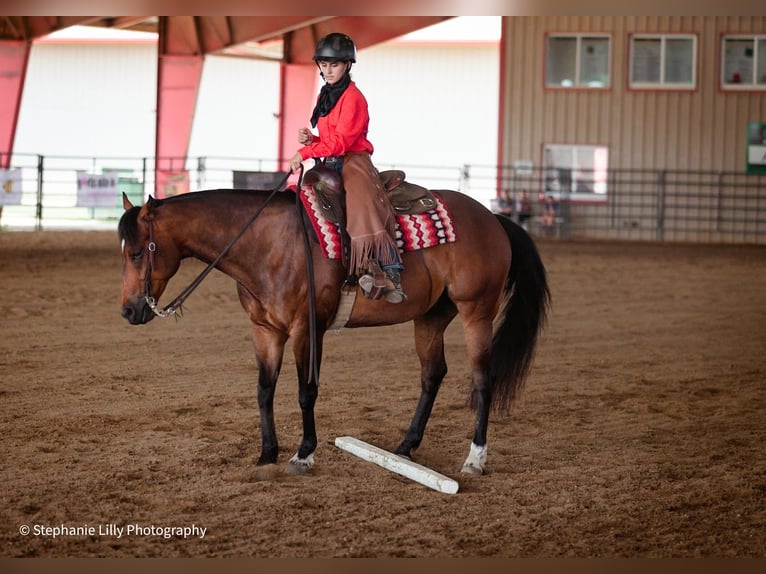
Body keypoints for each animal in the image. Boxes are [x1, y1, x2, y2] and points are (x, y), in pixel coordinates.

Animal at [118, 183, 550, 476]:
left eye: (138, 252)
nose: (128, 310)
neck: (267, 244)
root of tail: (493, 218)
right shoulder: (265, 330)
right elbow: (264, 390)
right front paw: (267, 453)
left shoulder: (306, 329)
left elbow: (305, 392)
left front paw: (303, 453)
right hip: (430, 317)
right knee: (432, 374)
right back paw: (405, 447)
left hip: (477, 312)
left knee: (483, 380)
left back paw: (475, 458)